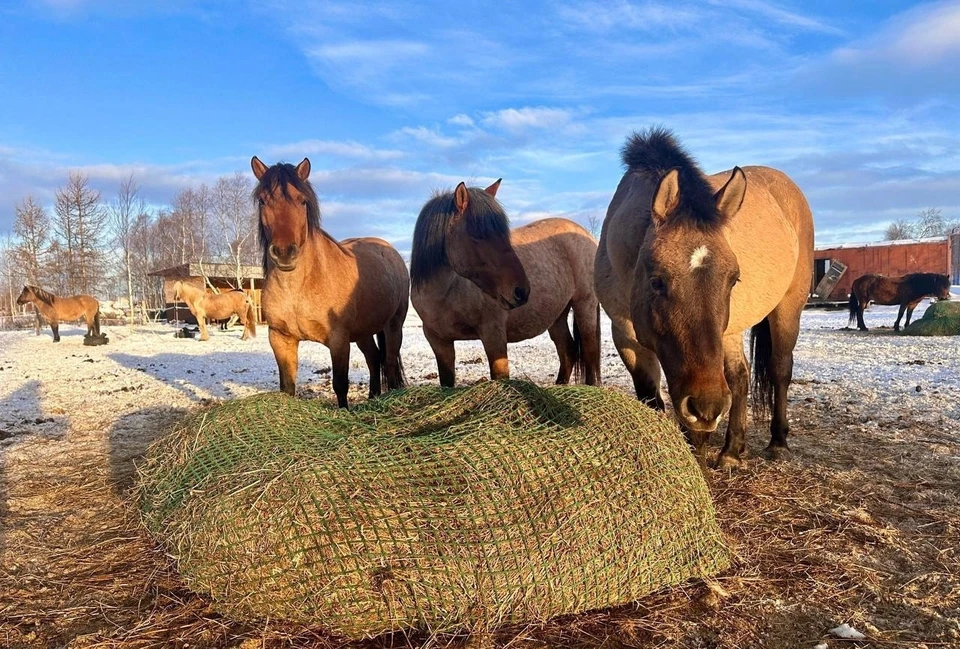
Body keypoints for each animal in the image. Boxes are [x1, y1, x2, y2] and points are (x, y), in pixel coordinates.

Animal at [249, 155, 406, 404]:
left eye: (302, 201)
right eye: (263, 201)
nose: (284, 253)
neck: (298, 288)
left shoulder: (338, 339)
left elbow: (340, 385)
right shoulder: (280, 339)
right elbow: (288, 387)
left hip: (393, 325)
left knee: (389, 363)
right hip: (363, 332)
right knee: (373, 359)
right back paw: (372, 398)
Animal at [410, 180, 600, 388]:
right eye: (478, 234)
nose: (521, 291)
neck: (446, 294)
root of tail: (587, 235)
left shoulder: (494, 335)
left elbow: (500, 377)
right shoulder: (439, 343)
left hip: (584, 305)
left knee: (589, 352)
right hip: (557, 316)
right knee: (568, 351)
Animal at [596, 126, 812, 468]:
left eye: (733, 279)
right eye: (657, 281)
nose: (707, 407)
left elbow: (693, 427)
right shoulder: (625, 335)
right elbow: (651, 399)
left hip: (787, 308)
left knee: (780, 369)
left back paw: (777, 442)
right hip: (730, 331)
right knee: (739, 376)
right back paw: (732, 450)